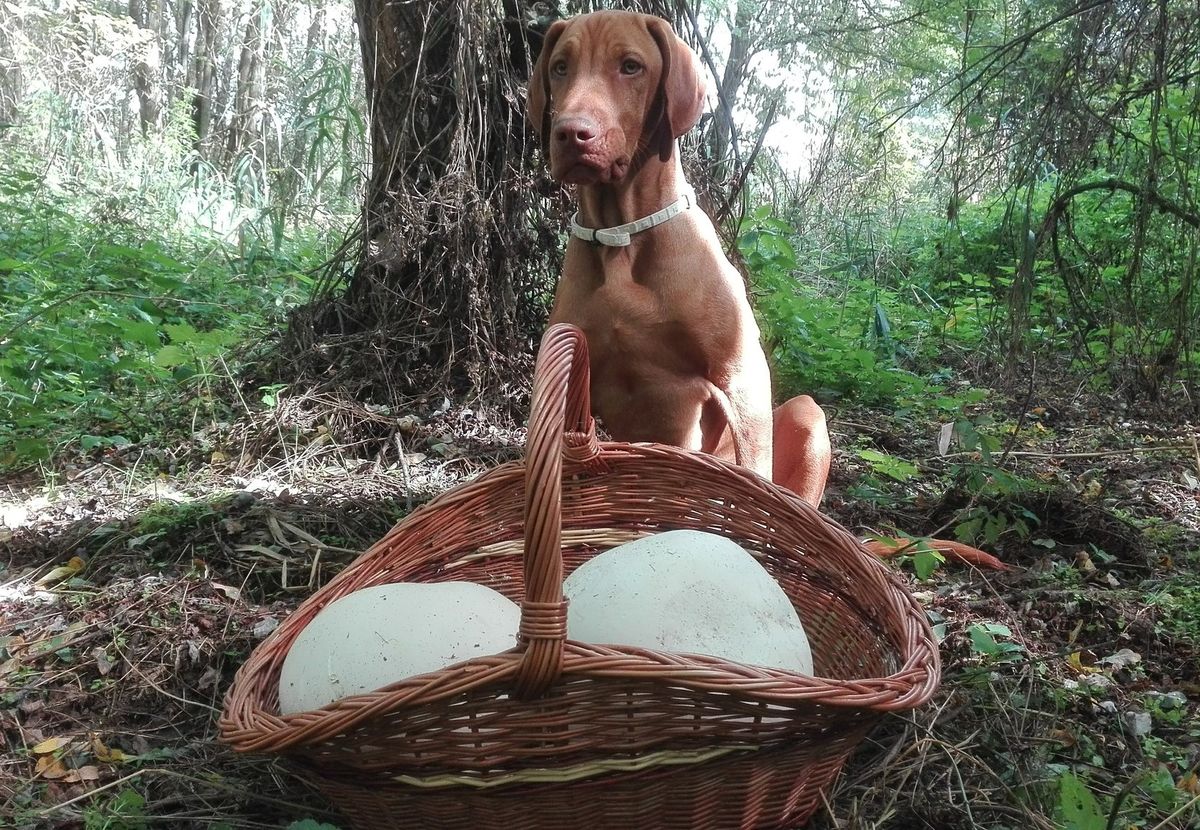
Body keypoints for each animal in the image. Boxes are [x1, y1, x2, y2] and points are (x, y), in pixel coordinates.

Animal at [530, 11, 1008, 570]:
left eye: (631, 66)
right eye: (560, 67)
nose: (570, 133)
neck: (621, 236)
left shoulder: (740, 370)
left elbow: (753, 473)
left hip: (804, 413)